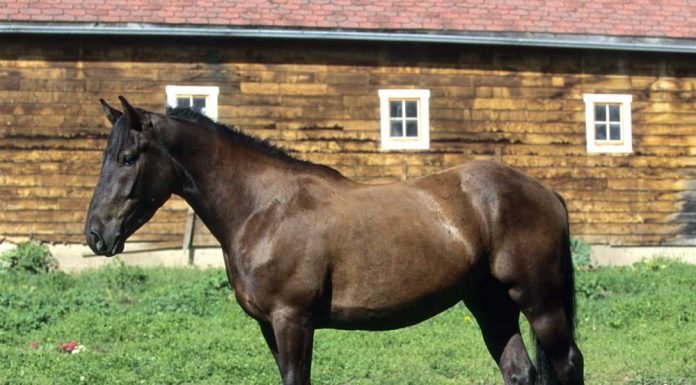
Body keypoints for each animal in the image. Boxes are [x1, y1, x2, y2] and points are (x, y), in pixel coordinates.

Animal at [84, 97, 584, 384]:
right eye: (106, 157)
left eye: (127, 157)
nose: (95, 234)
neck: (264, 210)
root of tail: (546, 192)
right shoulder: (270, 326)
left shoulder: (293, 320)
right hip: (489, 302)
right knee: (520, 372)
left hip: (539, 301)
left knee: (567, 363)